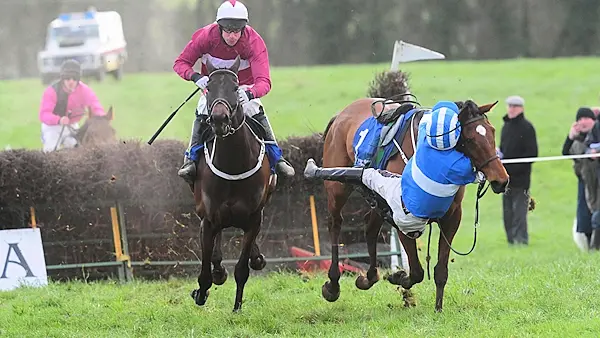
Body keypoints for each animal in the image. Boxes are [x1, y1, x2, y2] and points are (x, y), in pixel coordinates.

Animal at [189, 54, 276, 312]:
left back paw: (256, 258)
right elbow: (205, 271)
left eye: (236, 88)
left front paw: (237, 307)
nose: (219, 119)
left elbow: (241, 269)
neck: (233, 164)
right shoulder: (208, 219)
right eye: (209, 88)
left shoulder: (254, 218)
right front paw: (201, 292)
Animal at [314, 95, 506, 312]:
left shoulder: (451, 217)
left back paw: (368, 278)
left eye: (492, 131)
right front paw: (399, 277)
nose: (501, 180)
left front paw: (438, 308)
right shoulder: (402, 216)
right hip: (337, 188)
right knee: (335, 224)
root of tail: (341, 115)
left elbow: (440, 270)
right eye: (471, 139)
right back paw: (333, 285)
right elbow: (416, 272)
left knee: (370, 228)